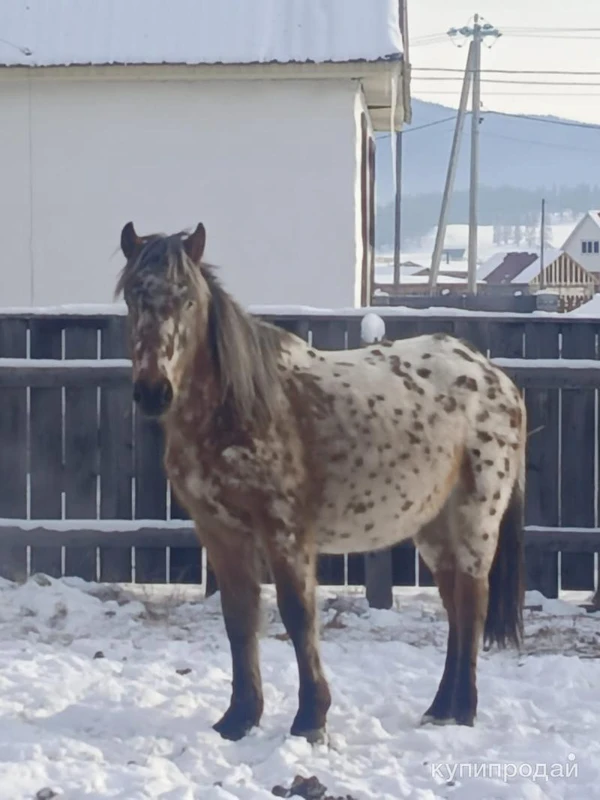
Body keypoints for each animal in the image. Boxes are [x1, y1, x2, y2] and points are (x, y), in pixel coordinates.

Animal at [116, 220, 524, 744]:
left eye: (187, 299)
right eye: (132, 295)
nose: (153, 391)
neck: (240, 408)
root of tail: (494, 376)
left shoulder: (285, 531)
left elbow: (297, 615)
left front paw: (310, 718)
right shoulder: (220, 533)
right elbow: (239, 619)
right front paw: (238, 718)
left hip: (476, 517)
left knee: (472, 604)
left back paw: (465, 711)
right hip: (433, 528)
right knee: (455, 606)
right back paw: (441, 708)